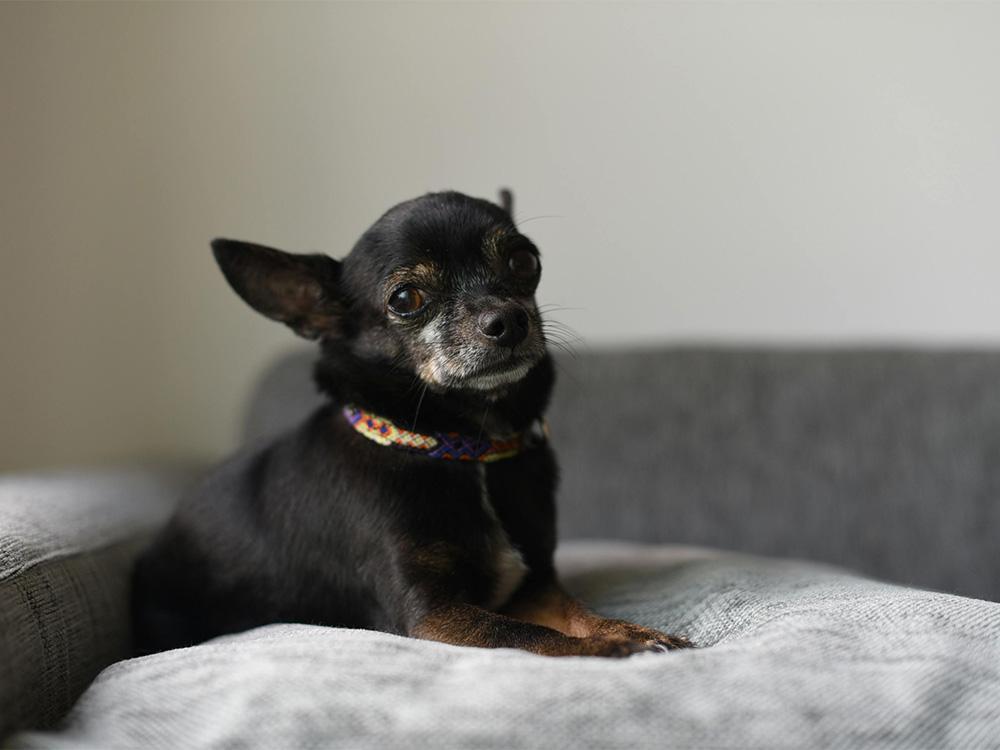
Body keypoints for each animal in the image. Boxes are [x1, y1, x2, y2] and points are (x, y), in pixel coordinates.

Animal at [131, 192, 688, 656]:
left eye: (525, 260)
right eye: (405, 299)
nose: (509, 319)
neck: (464, 447)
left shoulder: (533, 584)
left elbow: (572, 612)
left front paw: (628, 630)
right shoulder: (433, 614)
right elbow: (527, 635)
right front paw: (610, 648)